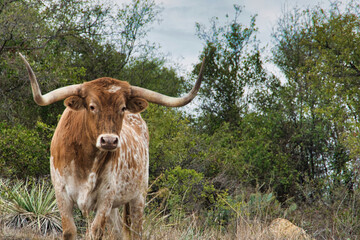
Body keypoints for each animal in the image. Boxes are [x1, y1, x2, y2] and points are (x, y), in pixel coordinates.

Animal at [19, 53, 205, 240]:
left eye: (122, 107)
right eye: (92, 106)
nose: (108, 141)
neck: (86, 160)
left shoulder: (106, 196)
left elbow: (95, 231)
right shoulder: (61, 192)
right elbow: (70, 231)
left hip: (138, 197)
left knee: (136, 231)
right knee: (117, 232)